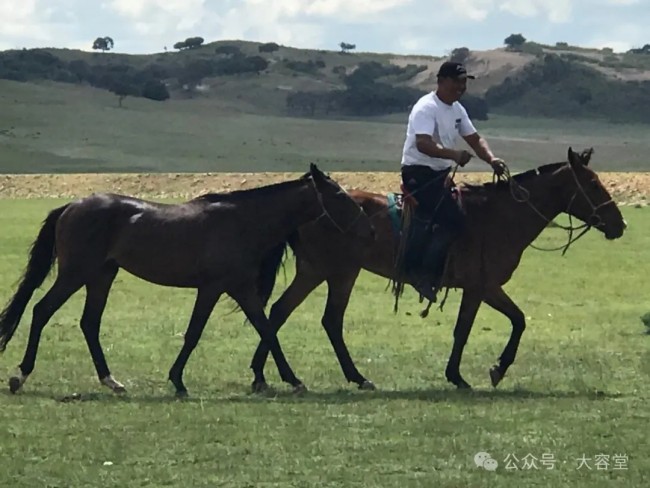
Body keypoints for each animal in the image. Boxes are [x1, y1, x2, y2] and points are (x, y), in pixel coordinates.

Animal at [0, 164, 372, 396]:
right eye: (340, 195)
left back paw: (111, 381)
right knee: (41, 310)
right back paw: (20, 375)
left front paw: (287, 379)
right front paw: (178, 381)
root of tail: (71, 206)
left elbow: (266, 329)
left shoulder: (241, 289)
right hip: (75, 273)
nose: (366, 227)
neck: (242, 222)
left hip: (101, 275)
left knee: (89, 323)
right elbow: (194, 334)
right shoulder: (212, 288)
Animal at [247, 147, 624, 390]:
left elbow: (515, 320)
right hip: (330, 271)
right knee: (304, 316)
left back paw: (277, 374)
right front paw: (471, 374)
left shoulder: (486, 288)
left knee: (296, 315)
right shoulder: (480, 287)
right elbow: (471, 329)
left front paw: (489, 369)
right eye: (593, 184)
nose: (619, 225)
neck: (501, 216)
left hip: (328, 272)